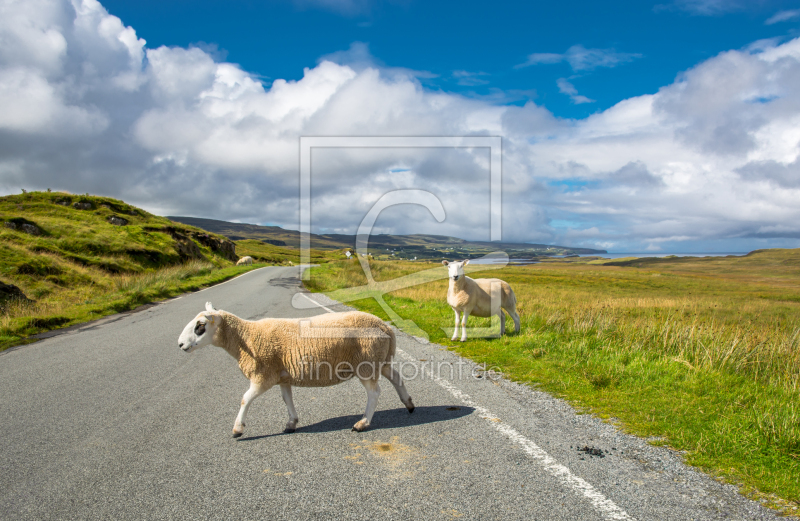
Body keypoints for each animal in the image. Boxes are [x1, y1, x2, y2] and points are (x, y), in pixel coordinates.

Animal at [175, 302, 412, 436]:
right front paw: (291, 423)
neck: (246, 338)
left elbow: (245, 399)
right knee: (397, 378)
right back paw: (409, 404)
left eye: (199, 327)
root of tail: (386, 328)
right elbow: (286, 399)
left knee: (374, 392)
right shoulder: (283, 375)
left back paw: (362, 423)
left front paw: (237, 429)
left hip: (366, 364)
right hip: (380, 360)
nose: (180, 344)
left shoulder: (263, 375)